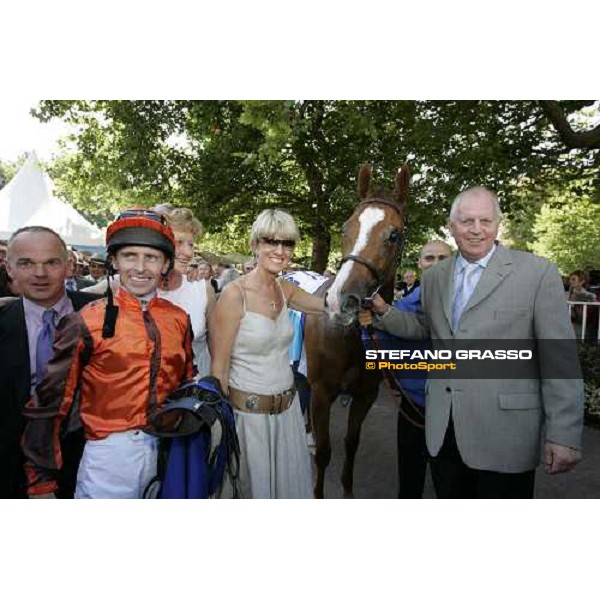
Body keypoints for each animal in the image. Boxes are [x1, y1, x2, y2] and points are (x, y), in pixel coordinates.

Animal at [304, 163, 408, 496]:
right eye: (345, 228)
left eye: (394, 234)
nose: (342, 300)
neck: (347, 339)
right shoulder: (323, 392)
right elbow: (325, 452)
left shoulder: (366, 395)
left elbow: (351, 443)